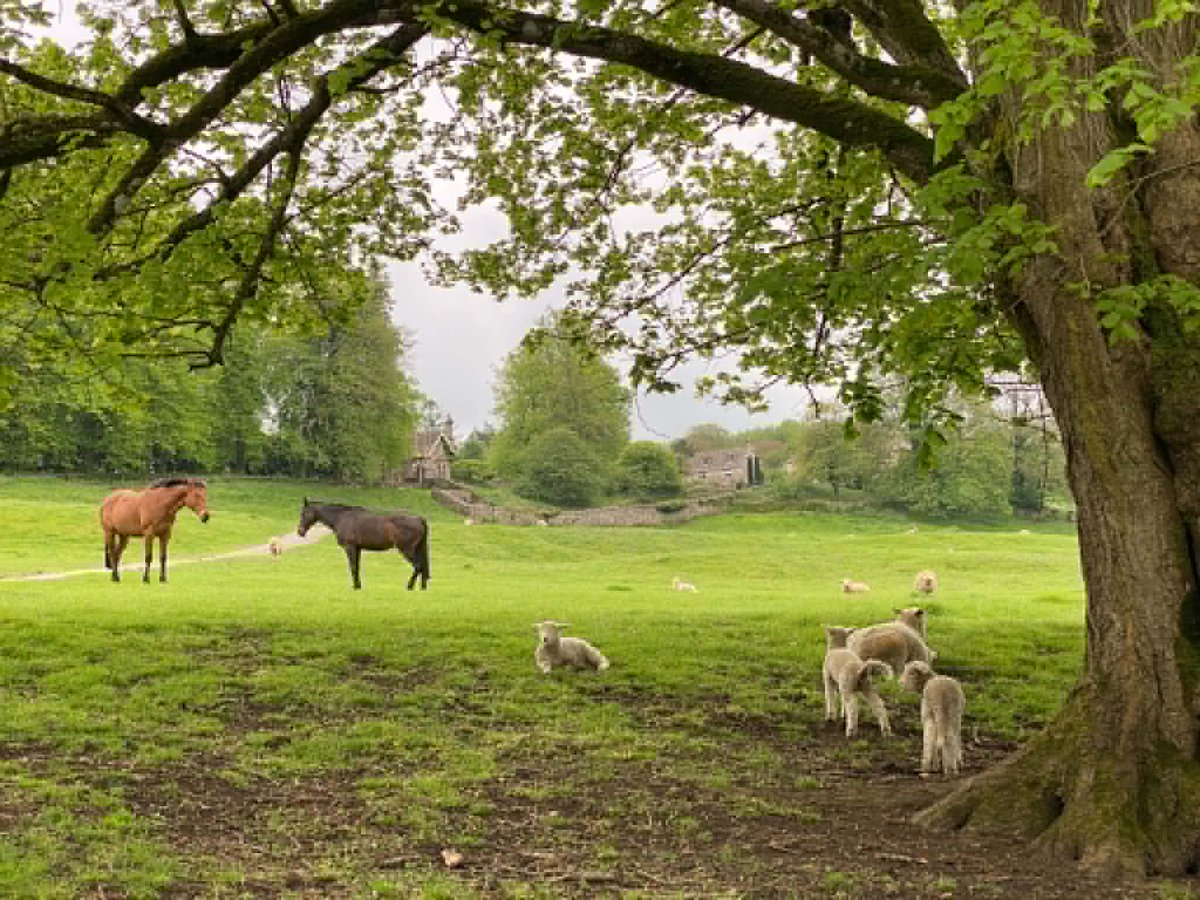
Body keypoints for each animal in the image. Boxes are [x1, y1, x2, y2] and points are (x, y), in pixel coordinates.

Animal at [296, 498, 430, 591]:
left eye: (303, 513)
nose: (300, 531)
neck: (341, 517)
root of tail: (418, 519)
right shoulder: (358, 549)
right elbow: (357, 567)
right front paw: (358, 586)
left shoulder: (350, 548)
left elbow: (353, 567)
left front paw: (355, 587)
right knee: (422, 567)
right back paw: (422, 587)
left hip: (407, 550)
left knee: (418, 566)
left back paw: (409, 586)